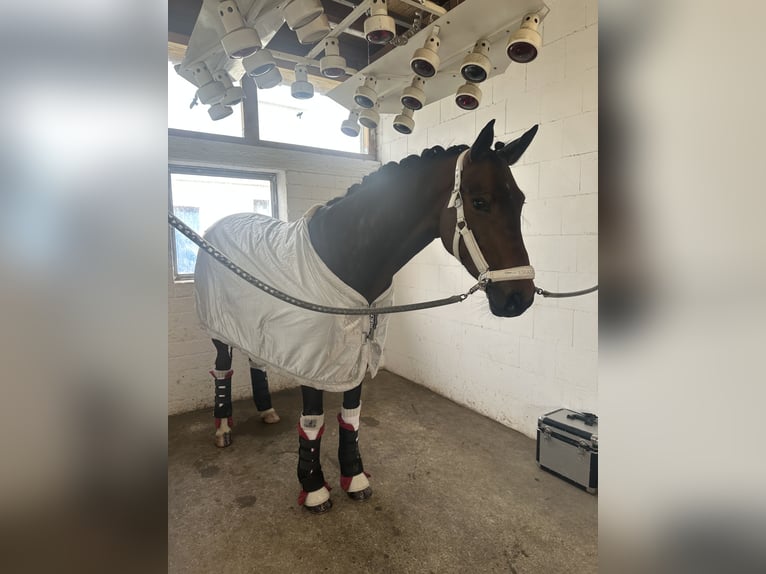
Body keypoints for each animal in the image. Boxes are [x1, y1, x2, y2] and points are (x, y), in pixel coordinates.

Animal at [195, 120, 536, 512]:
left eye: (520, 201)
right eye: (480, 202)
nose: (520, 297)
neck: (346, 257)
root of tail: (219, 224)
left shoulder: (357, 352)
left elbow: (351, 415)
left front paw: (354, 478)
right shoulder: (315, 360)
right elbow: (312, 420)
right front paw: (314, 487)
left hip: (255, 324)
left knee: (257, 361)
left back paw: (266, 411)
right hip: (219, 329)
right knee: (223, 369)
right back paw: (223, 429)